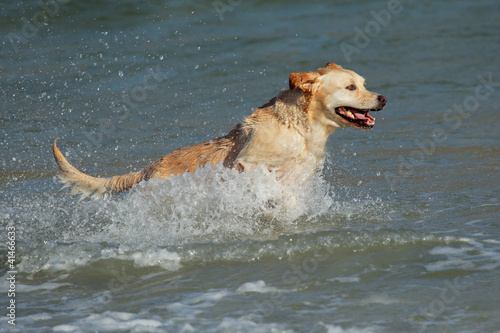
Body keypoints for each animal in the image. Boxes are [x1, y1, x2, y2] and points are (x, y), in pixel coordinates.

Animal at [52, 61, 386, 198]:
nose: (382, 98)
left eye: (364, 83)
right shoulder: (247, 163)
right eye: (351, 87)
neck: (301, 130)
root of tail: (147, 170)